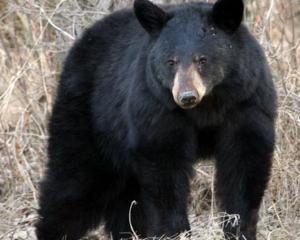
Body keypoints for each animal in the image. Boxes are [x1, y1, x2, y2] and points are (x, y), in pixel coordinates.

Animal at [35, 0, 276, 240]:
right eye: (171, 62)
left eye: (202, 60)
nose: (186, 96)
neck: (207, 106)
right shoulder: (156, 108)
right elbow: (165, 169)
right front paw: (176, 231)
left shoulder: (246, 101)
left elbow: (244, 164)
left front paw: (240, 228)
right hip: (89, 118)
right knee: (74, 181)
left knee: (125, 200)